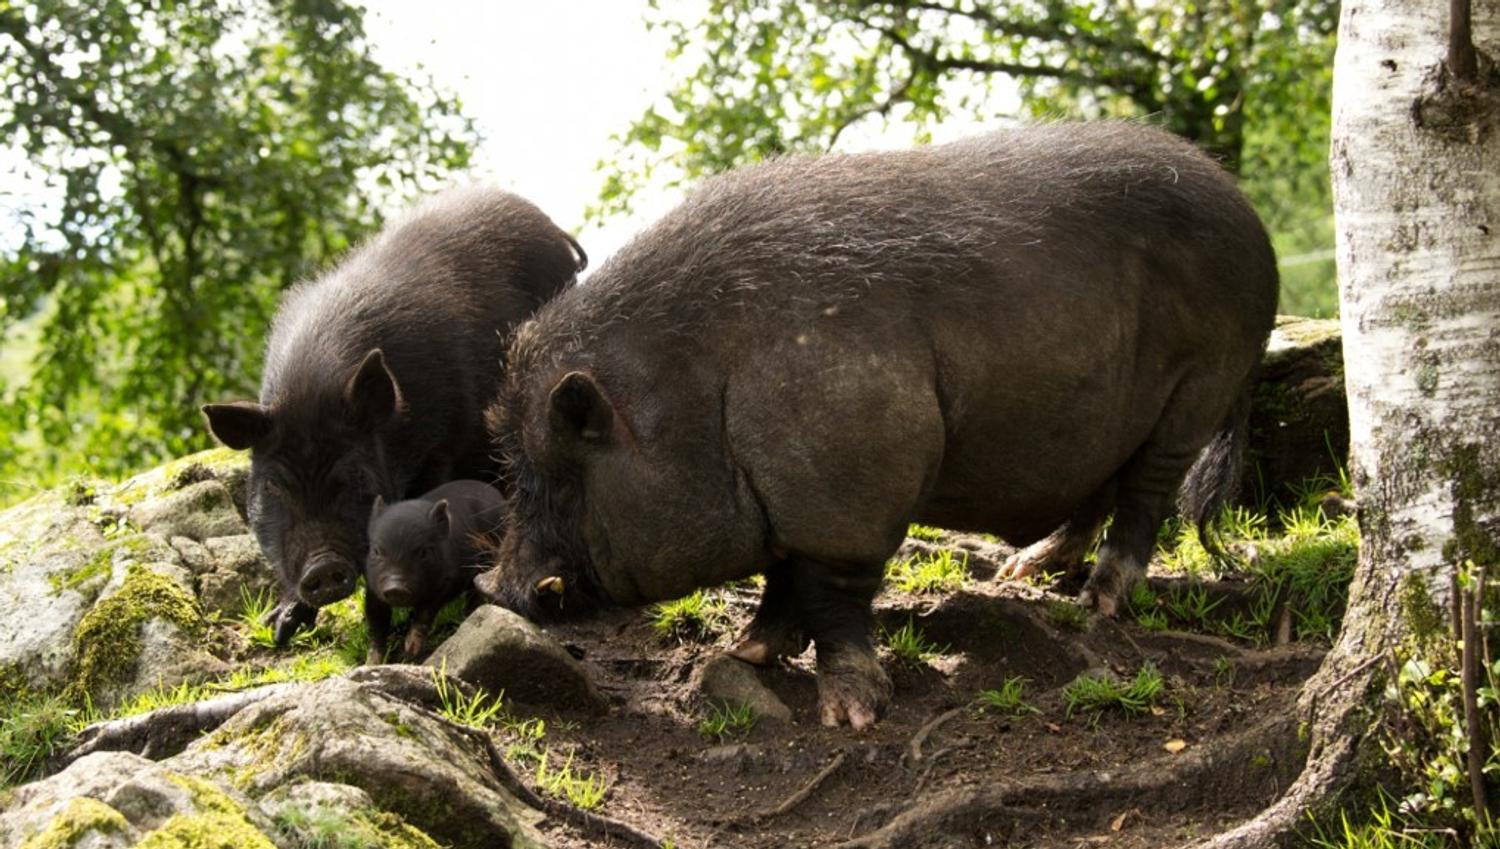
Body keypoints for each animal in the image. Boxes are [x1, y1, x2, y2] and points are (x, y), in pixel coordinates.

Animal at [364, 479, 505, 663]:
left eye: (423, 552)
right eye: (376, 551)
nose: (395, 587)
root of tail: (494, 492)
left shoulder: (448, 582)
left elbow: (426, 611)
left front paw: (410, 650)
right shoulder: (372, 588)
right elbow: (376, 623)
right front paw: (370, 663)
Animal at [477, 122, 1279, 729]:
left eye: (563, 469)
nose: (492, 587)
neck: (700, 392)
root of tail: (1250, 217)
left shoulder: (852, 480)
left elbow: (831, 593)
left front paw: (851, 716)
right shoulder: (790, 499)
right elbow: (780, 576)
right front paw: (745, 653)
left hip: (1201, 382)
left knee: (1147, 492)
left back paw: (1100, 602)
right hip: (1106, 411)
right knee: (1098, 485)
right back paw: (1027, 572)